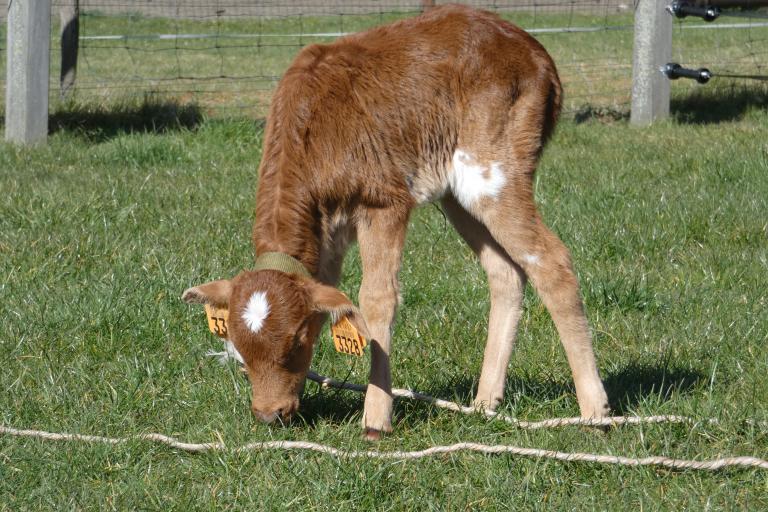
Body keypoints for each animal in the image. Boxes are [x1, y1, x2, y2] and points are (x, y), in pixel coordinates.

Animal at [183, 4, 608, 436]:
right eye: (238, 346)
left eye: (297, 341)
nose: (270, 414)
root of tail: (535, 50)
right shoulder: (328, 228)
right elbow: (329, 291)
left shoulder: (383, 201)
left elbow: (376, 299)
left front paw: (376, 418)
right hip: (457, 192)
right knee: (505, 271)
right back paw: (485, 403)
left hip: (496, 166)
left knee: (551, 261)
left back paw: (595, 410)